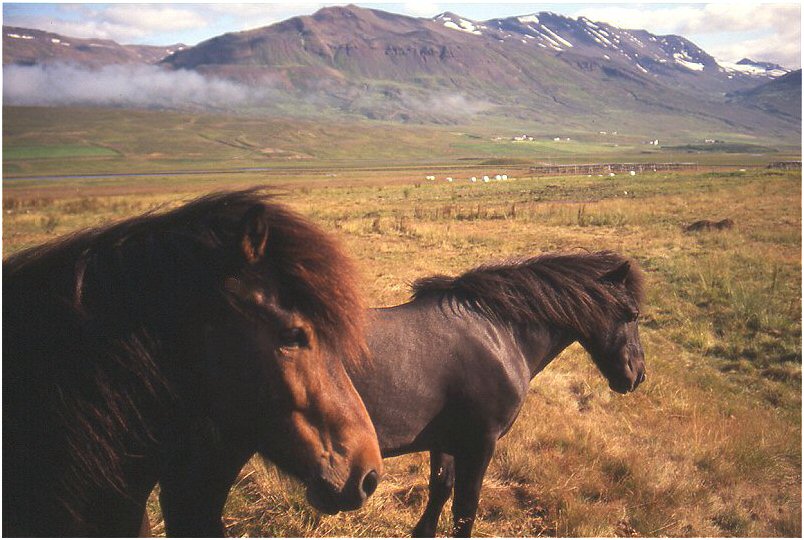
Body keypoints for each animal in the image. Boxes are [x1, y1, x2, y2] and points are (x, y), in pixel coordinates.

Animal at [354, 250, 648, 536]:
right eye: (633, 314)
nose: (638, 375)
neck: (498, 335)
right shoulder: (480, 443)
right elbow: (465, 511)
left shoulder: (444, 442)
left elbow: (440, 490)